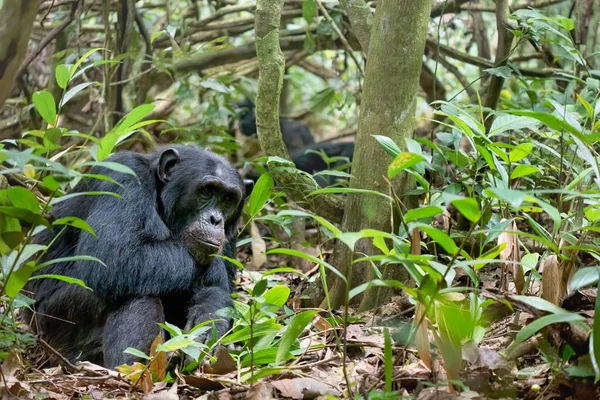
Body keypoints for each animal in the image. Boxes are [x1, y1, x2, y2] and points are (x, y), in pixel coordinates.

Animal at [22, 144, 253, 368]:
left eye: (228, 199)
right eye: (207, 191)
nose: (215, 219)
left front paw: (210, 318)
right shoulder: (122, 176)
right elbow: (113, 255)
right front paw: (214, 271)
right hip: (53, 327)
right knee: (136, 294)